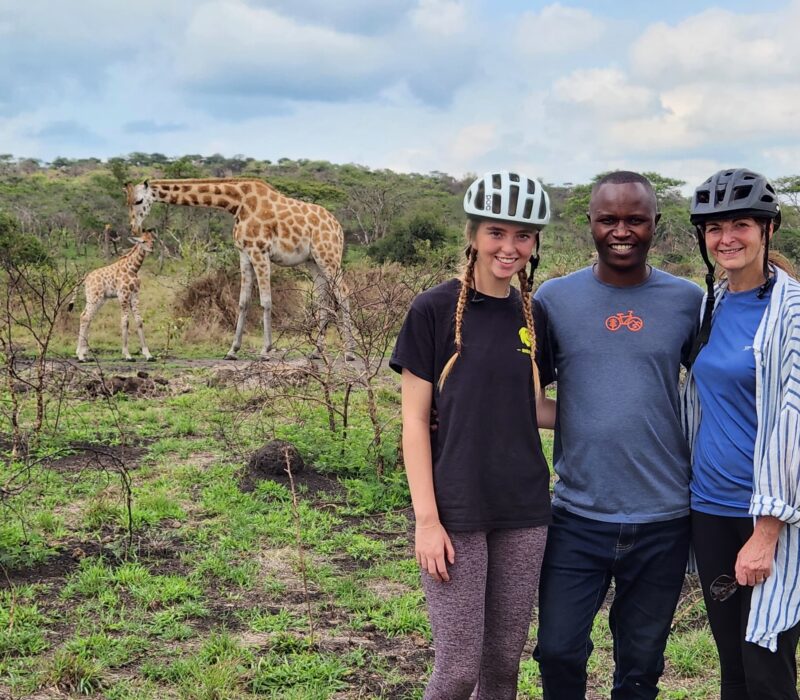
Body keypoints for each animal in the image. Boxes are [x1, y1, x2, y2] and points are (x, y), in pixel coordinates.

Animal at [70, 231, 156, 360]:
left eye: (152, 240)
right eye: (143, 241)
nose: (151, 248)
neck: (133, 268)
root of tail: (86, 278)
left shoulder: (135, 296)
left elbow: (139, 321)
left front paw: (148, 354)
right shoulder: (123, 295)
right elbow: (125, 321)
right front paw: (127, 354)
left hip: (100, 299)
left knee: (86, 317)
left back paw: (84, 353)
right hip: (94, 297)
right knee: (85, 317)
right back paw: (80, 355)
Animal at [127, 178, 354, 358]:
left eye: (139, 201)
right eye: (127, 201)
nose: (134, 229)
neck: (237, 203)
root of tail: (338, 227)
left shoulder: (259, 251)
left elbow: (265, 301)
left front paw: (265, 350)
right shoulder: (244, 254)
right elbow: (243, 301)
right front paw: (232, 350)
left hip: (329, 255)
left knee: (343, 292)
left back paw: (350, 352)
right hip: (313, 261)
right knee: (324, 297)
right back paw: (317, 351)